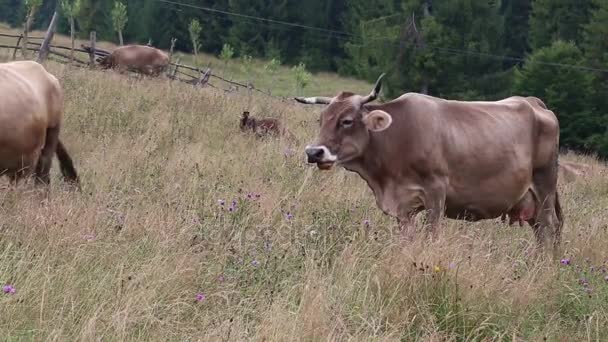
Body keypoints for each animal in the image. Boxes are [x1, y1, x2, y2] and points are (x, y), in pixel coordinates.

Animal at [296, 75, 564, 256]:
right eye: (322, 119)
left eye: (347, 121)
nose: (313, 152)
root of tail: (533, 102)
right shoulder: (403, 207)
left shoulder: (436, 192)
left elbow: (432, 235)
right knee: (541, 231)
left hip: (545, 187)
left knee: (549, 229)